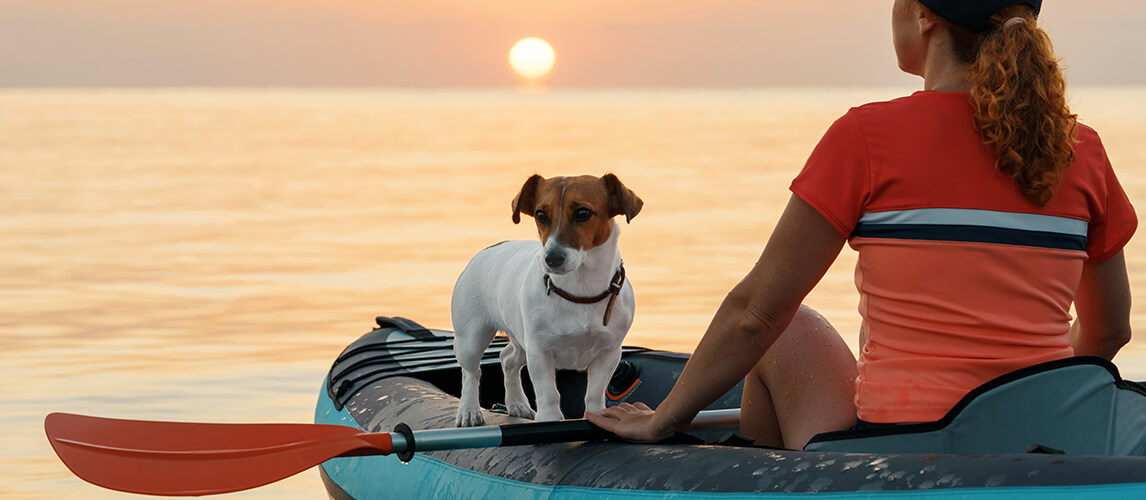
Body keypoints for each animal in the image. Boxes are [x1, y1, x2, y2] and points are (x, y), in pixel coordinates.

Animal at [449, 173, 646, 426]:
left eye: (583, 213)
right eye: (541, 215)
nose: (551, 259)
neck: (578, 293)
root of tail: (489, 248)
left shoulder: (609, 352)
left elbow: (594, 392)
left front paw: (596, 416)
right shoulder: (539, 351)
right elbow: (548, 392)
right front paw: (550, 418)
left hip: (521, 338)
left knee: (507, 359)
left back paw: (517, 404)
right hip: (472, 338)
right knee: (471, 373)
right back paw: (469, 410)